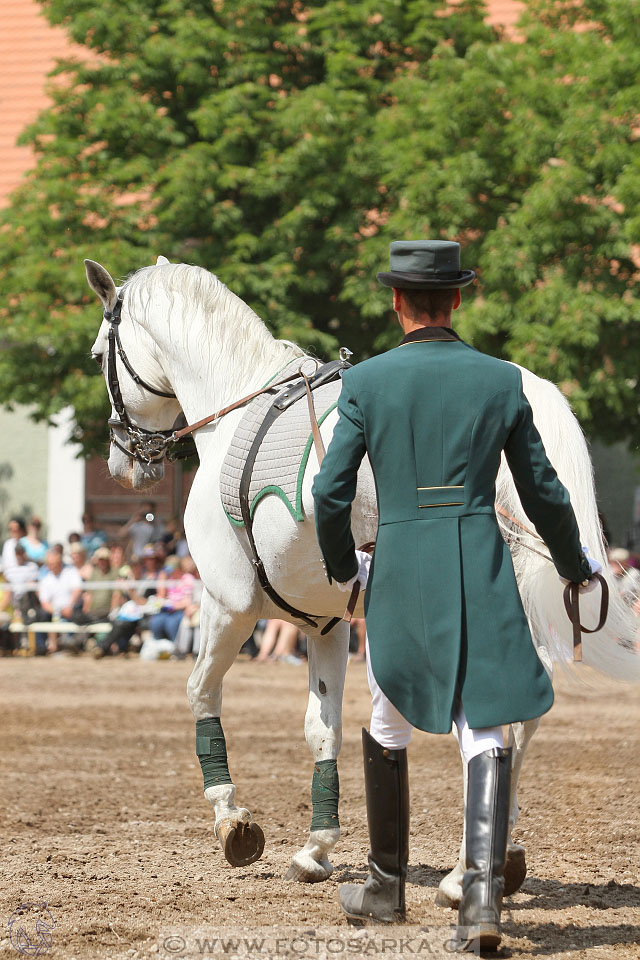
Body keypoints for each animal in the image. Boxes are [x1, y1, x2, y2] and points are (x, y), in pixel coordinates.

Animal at [86, 256, 640, 900]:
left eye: (98, 354)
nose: (124, 462)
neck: (234, 411)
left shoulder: (229, 604)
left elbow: (200, 691)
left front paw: (233, 821)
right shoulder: (325, 623)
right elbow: (322, 729)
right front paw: (316, 849)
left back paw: (465, 871)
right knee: (520, 720)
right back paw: (498, 857)